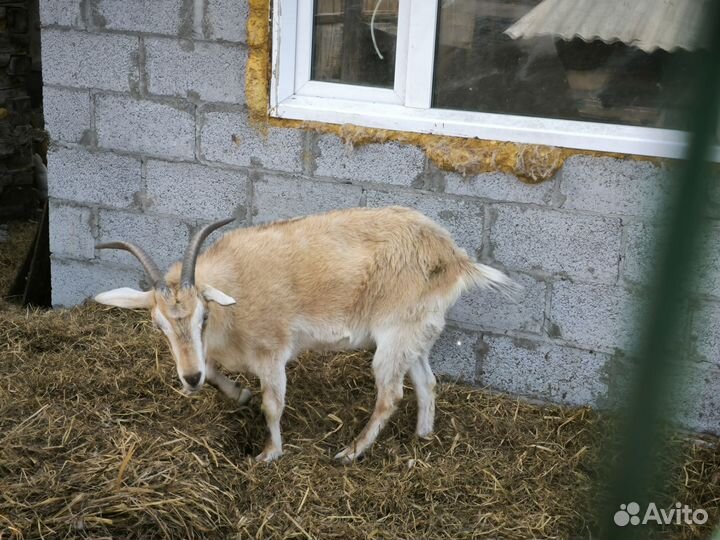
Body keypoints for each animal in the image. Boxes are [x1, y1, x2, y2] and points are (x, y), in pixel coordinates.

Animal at [94, 206, 520, 462]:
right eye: (159, 325)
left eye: (203, 316)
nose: (189, 378)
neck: (235, 292)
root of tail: (453, 257)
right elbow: (217, 372)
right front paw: (239, 394)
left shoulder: (271, 351)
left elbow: (272, 405)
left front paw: (269, 453)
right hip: (415, 333)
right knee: (427, 383)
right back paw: (423, 437)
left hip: (395, 335)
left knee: (391, 395)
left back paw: (350, 452)